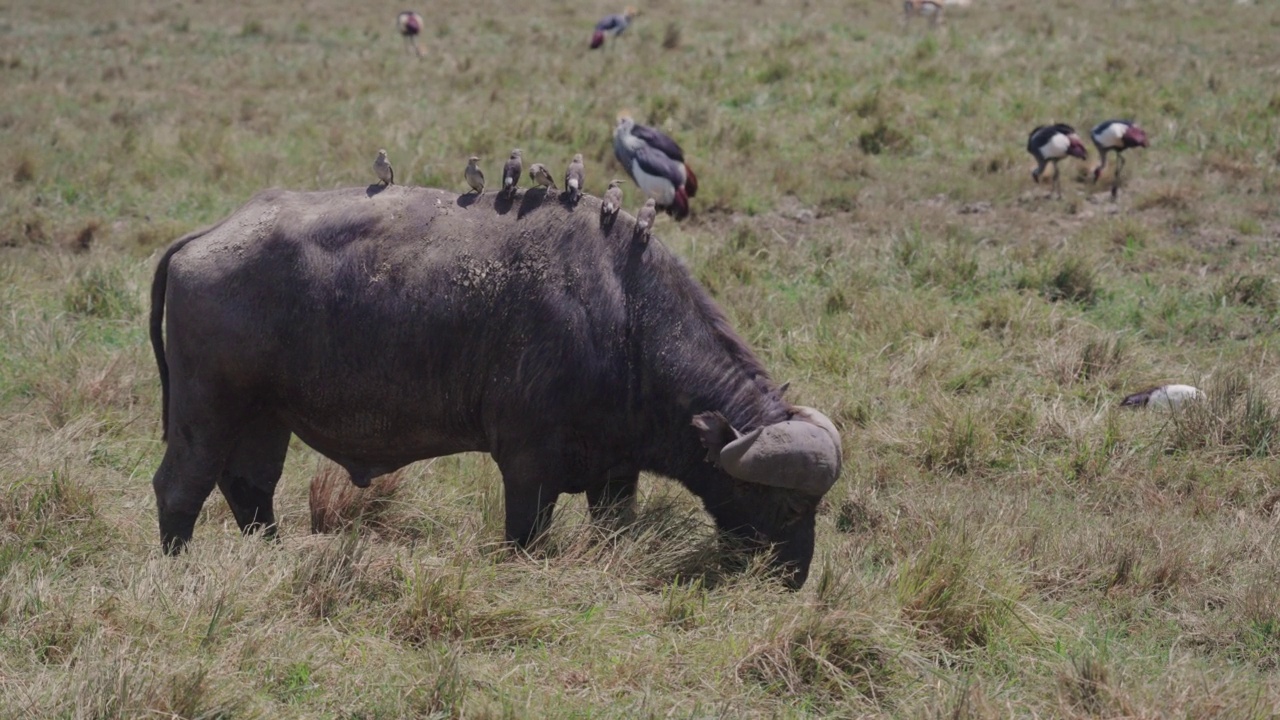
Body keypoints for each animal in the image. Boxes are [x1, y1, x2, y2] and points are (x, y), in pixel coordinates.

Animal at [149, 181, 844, 586]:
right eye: (788, 505)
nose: (794, 578)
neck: (624, 315)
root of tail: (206, 237)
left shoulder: (615, 475)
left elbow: (613, 527)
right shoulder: (527, 465)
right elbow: (526, 536)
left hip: (265, 418)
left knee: (250, 488)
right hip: (205, 413)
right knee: (180, 486)